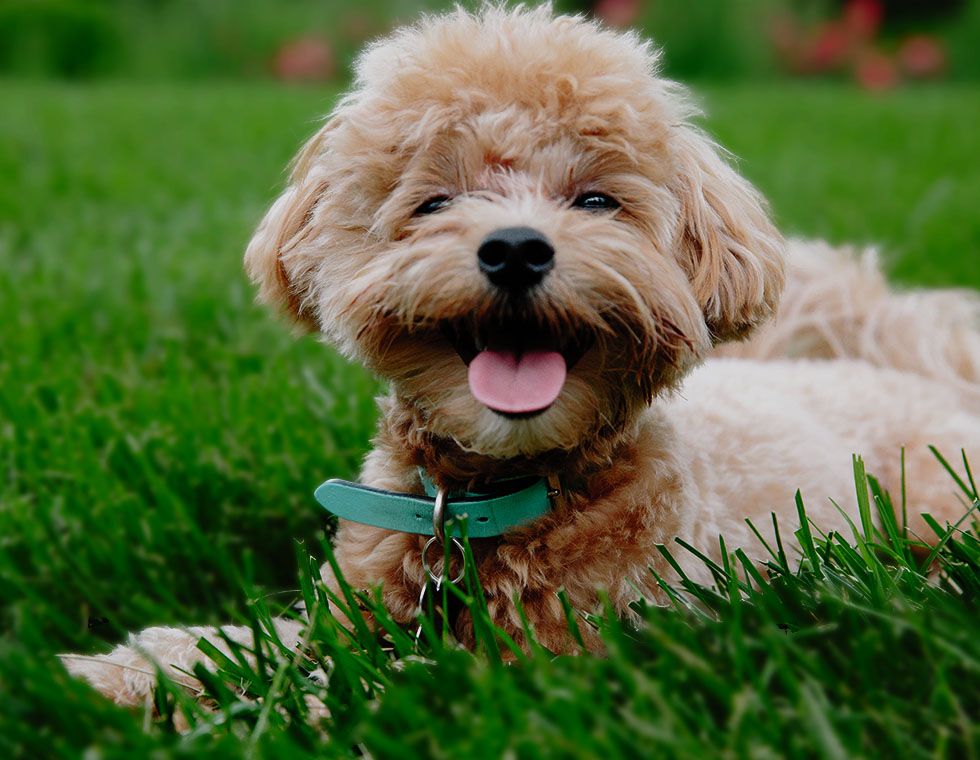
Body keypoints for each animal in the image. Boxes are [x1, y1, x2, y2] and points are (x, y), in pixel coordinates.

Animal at [65, 5, 976, 708]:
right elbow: (264, 641)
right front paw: (116, 673)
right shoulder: (352, 611)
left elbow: (376, 691)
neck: (479, 505)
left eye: (597, 200)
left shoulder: (558, 657)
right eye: (434, 203)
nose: (513, 249)